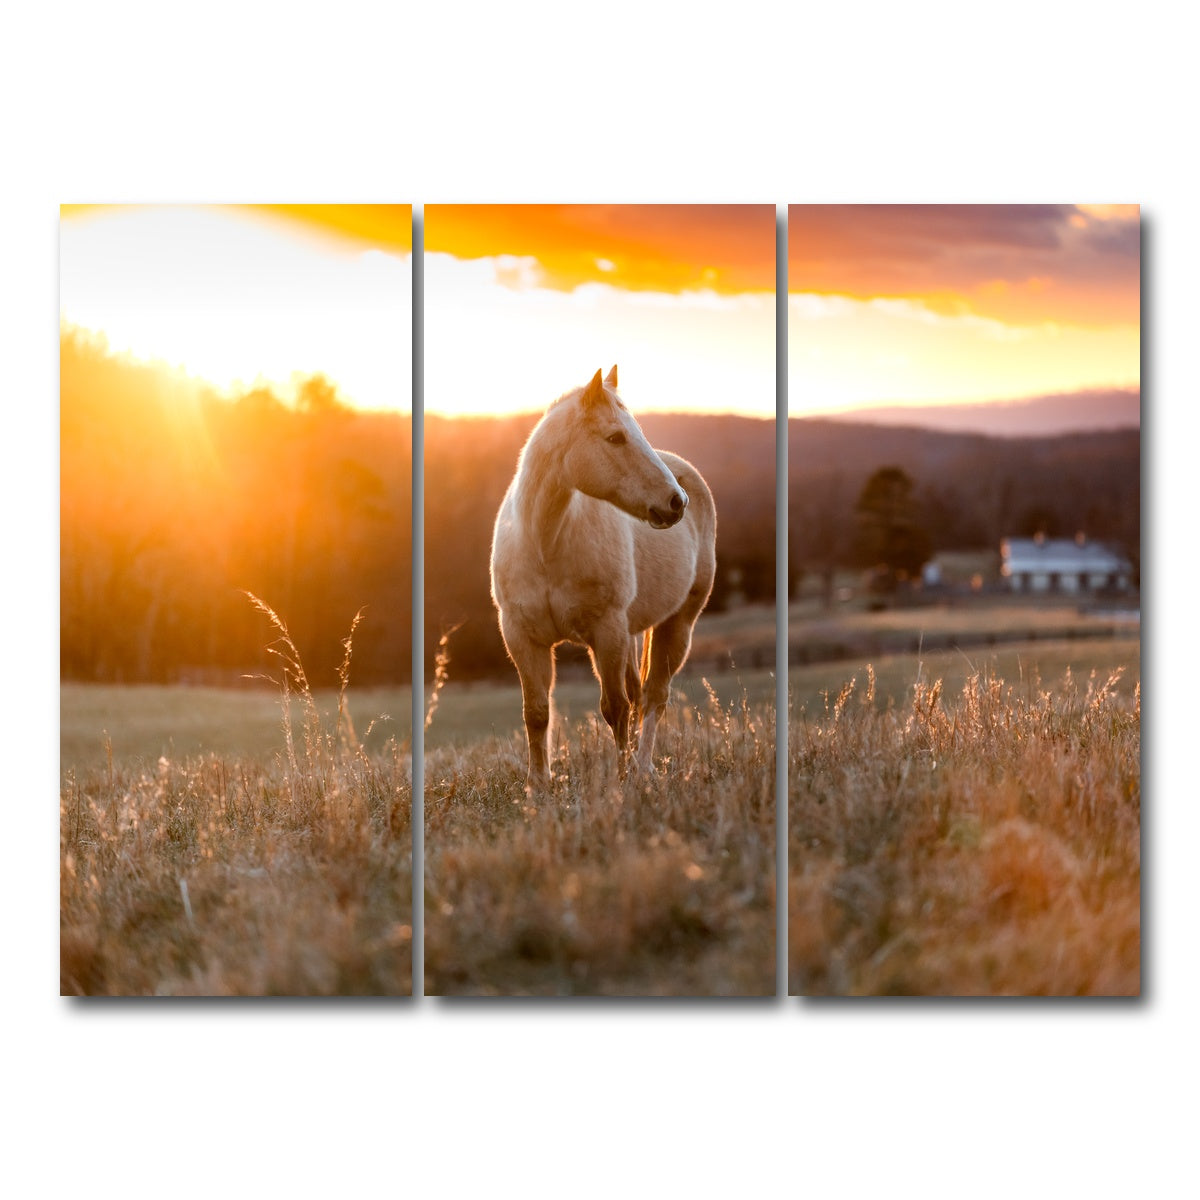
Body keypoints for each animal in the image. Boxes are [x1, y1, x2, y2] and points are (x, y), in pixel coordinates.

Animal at [490, 365, 717, 794]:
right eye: (615, 437)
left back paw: (643, 768)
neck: (546, 543)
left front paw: (621, 779)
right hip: (631, 632)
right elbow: (537, 712)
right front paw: (537, 786)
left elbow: (615, 708)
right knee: (640, 693)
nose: (676, 502)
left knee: (654, 696)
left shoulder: (606, 632)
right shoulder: (521, 637)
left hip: (677, 625)